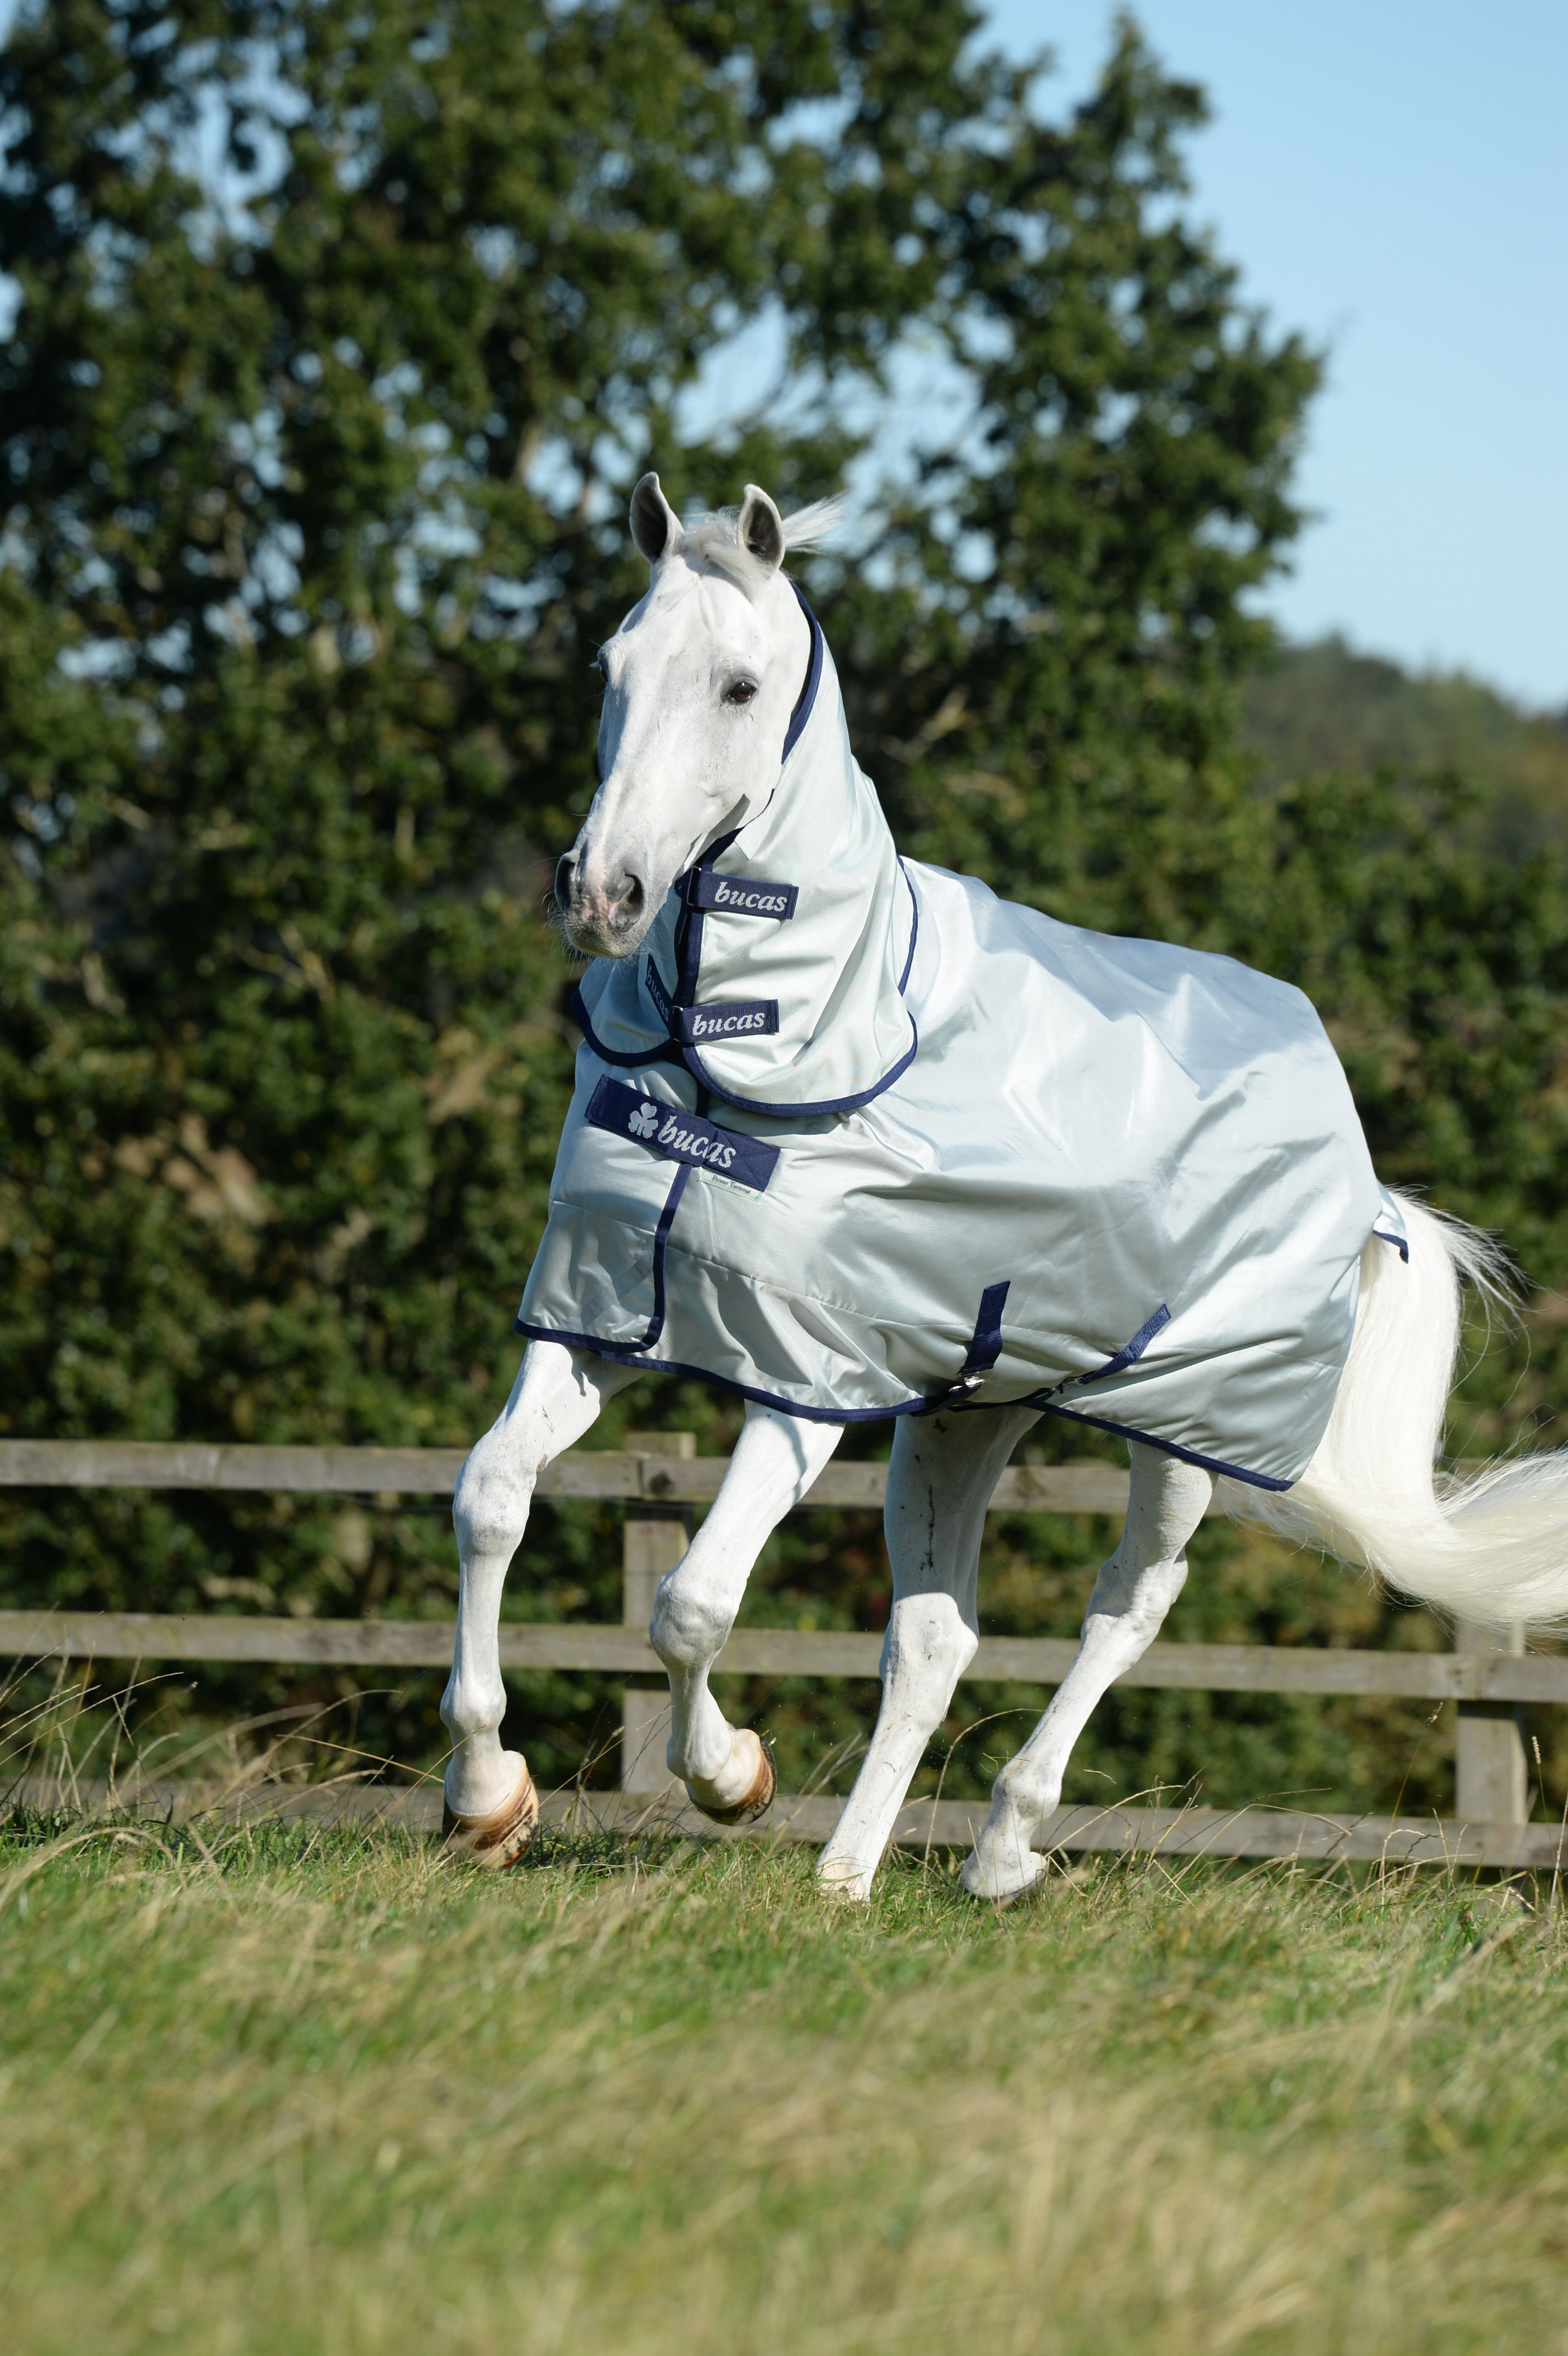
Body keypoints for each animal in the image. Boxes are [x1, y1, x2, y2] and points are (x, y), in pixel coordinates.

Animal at [433, 473, 1563, 1894]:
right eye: (610, 666)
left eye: (739, 686)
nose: (601, 895)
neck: (768, 1032)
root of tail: (1357, 1165)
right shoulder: (601, 1317)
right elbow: (489, 1499)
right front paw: (488, 1799)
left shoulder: (804, 1383)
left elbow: (690, 1604)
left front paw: (730, 1777)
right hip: (966, 1414)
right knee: (935, 1642)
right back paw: (846, 1877)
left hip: (1182, 1432)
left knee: (1127, 1608)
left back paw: (1005, 1843)